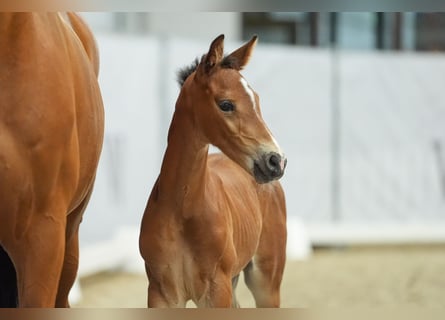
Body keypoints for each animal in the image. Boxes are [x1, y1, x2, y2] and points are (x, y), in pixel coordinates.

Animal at [140, 33, 288, 308]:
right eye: (226, 104)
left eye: (257, 101)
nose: (276, 161)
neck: (182, 210)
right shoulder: (161, 294)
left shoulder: (216, 291)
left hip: (266, 282)